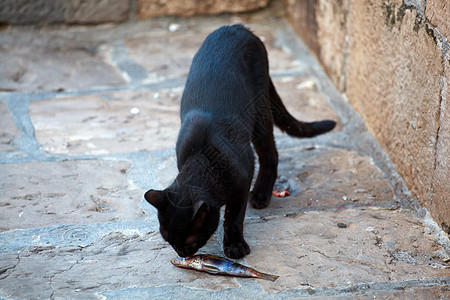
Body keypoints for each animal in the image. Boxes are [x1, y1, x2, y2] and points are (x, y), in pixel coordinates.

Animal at [146, 24, 336, 258]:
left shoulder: (244, 176)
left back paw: (261, 195)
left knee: (270, 155)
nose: (182, 254)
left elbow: (233, 215)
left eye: (190, 241)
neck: (202, 158)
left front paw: (235, 245)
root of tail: (237, 27)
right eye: (168, 239)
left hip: (260, 112)